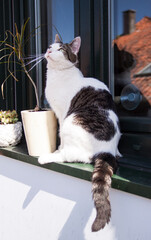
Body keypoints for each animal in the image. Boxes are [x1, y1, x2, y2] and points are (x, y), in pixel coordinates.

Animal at [38, 34, 121, 232]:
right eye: (50, 46)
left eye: (61, 49)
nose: (49, 50)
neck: (56, 75)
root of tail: (107, 151)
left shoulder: (62, 113)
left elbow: (60, 136)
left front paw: (57, 148)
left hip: (71, 121)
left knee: (70, 155)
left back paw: (47, 157)